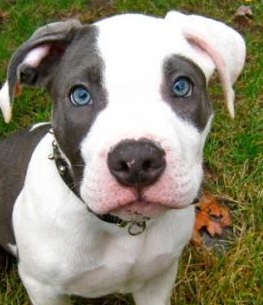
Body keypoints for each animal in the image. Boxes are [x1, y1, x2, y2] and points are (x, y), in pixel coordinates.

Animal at [0, 10, 245, 304]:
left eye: (181, 86)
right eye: (80, 95)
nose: (136, 161)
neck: (123, 228)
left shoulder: (158, 281)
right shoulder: (43, 288)